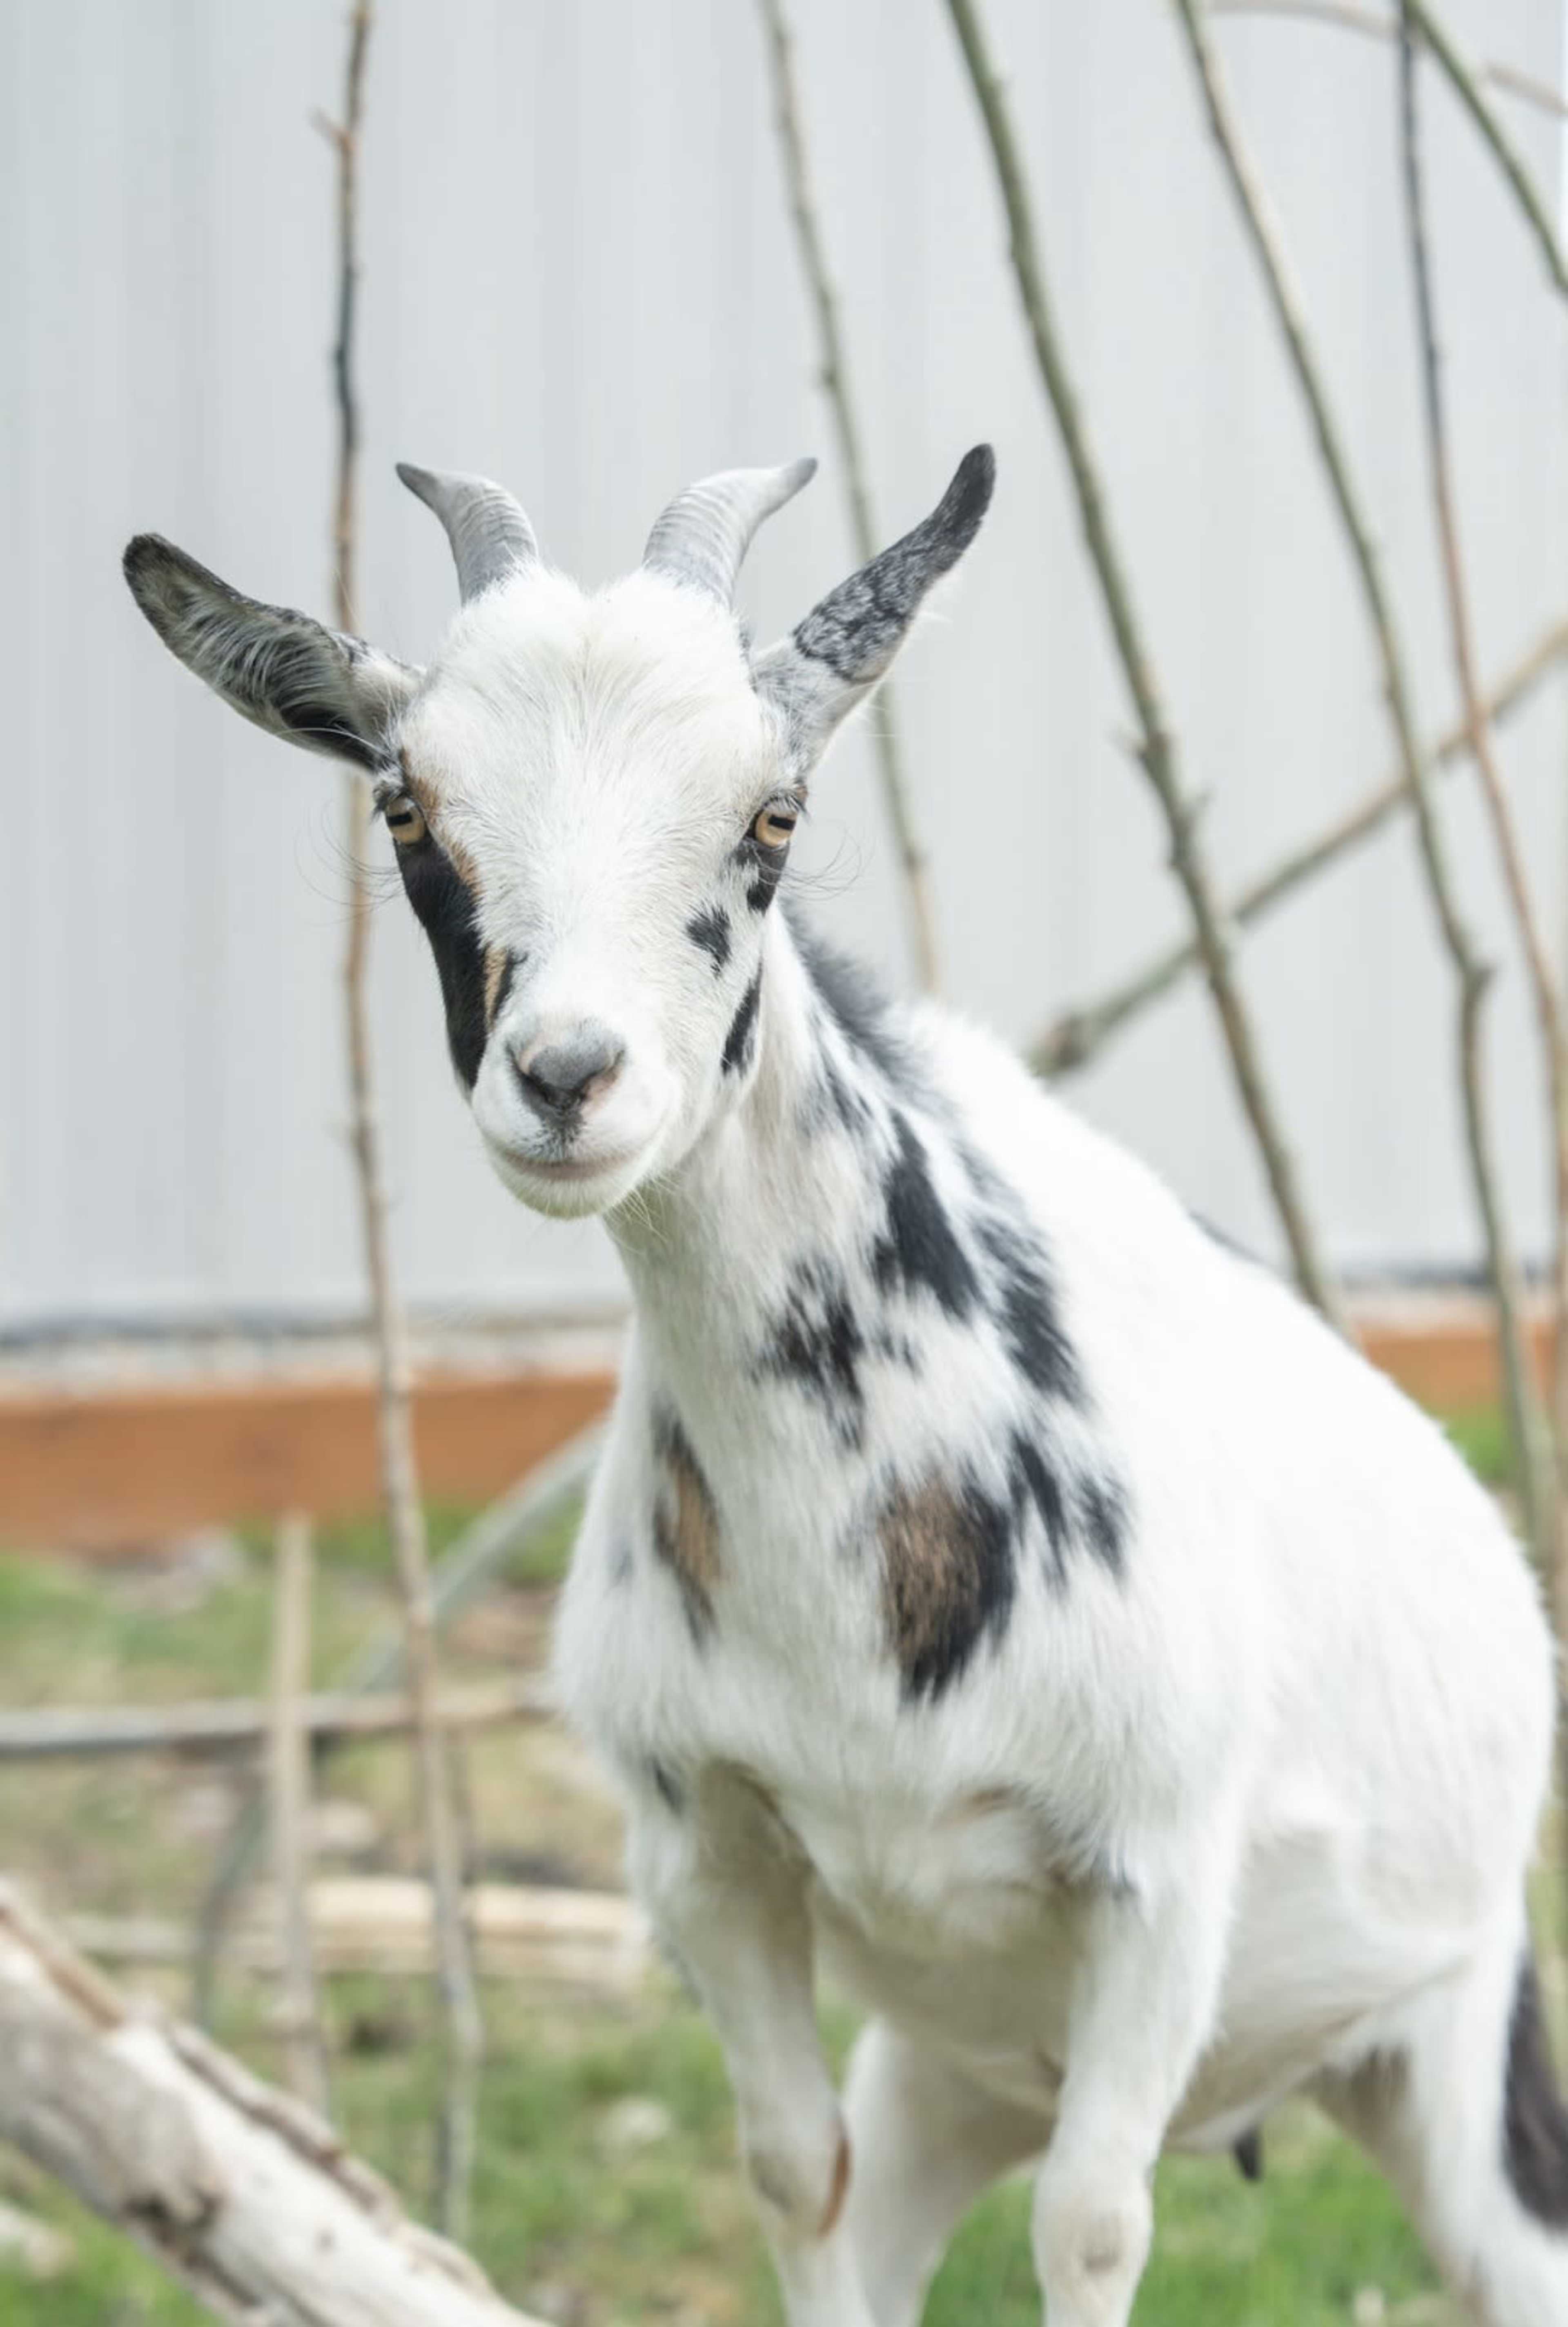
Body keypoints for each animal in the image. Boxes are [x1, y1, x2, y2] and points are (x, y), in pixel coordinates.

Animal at [125, 451, 1568, 2326]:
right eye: (408, 812)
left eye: (773, 814)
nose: (567, 1076)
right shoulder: (706, 1850)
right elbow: (793, 2175)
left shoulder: (1159, 1868)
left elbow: (1092, 2218)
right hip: (951, 2072)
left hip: (1461, 2045)